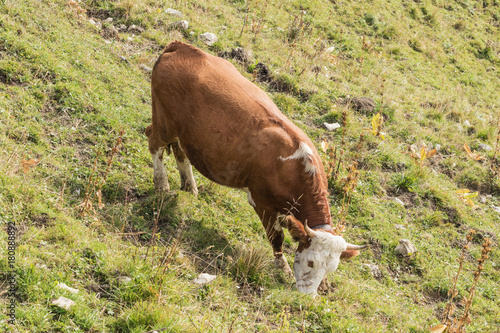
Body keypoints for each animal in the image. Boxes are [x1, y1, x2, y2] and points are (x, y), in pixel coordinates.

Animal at [146, 40, 368, 294]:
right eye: (311, 262)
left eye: (330, 268)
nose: (308, 295)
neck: (294, 168)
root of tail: (181, 47)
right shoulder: (262, 202)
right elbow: (276, 238)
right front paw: (282, 267)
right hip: (164, 122)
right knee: (154, 142)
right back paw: (161, 185)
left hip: (184, 134)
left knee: (180, 152)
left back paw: (189, 186)